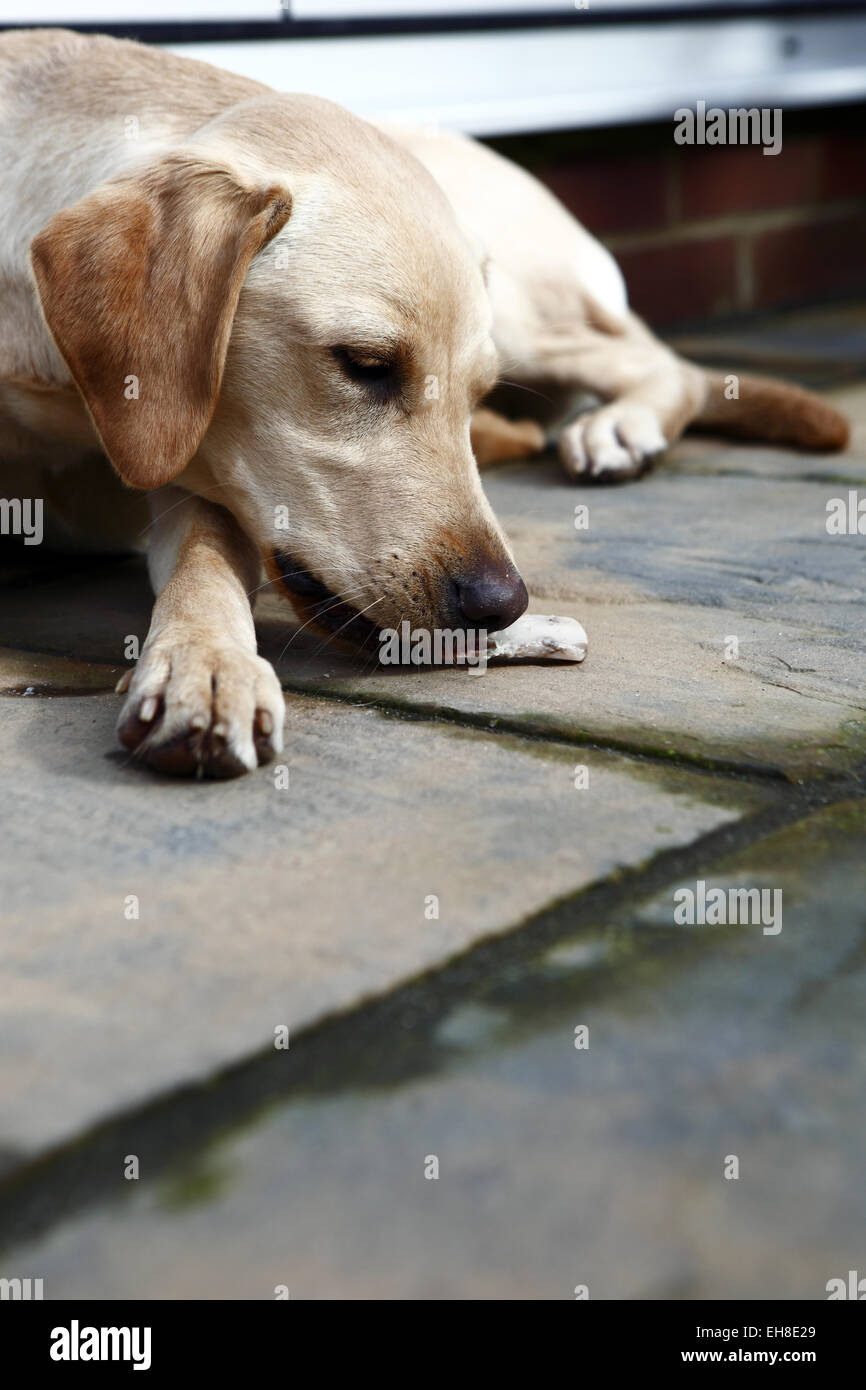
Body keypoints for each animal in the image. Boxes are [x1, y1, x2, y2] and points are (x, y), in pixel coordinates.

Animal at [0, 29, 850, 772]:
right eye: (366, 365)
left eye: (473, 391)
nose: (502, 604)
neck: (62, 390)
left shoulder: (195, 472)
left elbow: (205, 564)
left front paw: (205, 663)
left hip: (524, 309)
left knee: (668, 365)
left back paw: (617, 429)